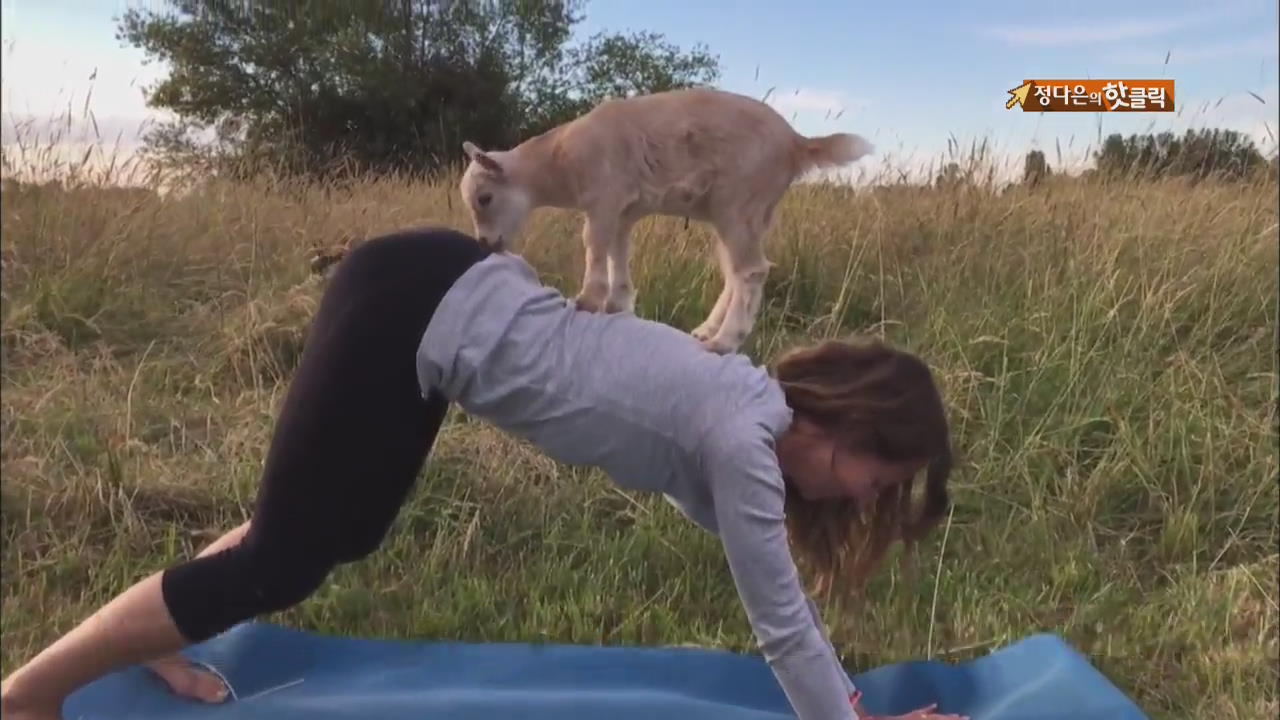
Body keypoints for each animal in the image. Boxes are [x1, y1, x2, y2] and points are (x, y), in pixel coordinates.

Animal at [458, 85, 870, 351]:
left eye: (485, 198)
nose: (485, 243)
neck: (560, 162)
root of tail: (797, 142)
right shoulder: (624, 209)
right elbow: (618, 251)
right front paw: (618, 303)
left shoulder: (604, 196)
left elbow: (594, 244)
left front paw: (589, 300)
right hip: (749, 212)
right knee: (736, 271)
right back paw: (706, 331)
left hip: (739, 201)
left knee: (751, 270)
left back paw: (724, 341)